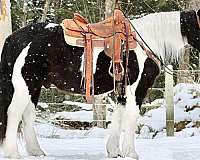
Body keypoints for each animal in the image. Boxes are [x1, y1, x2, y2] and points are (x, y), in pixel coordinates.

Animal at [0, 10, 199, 159]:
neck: (147, 41)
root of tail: (14, 37)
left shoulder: (122, 90)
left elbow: (119, 115)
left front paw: (114, 151)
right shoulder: (137, 88)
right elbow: (131, 117)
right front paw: (131, 153)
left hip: (34, 86)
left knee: (28, 115)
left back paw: (36, 151)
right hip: (25, 85)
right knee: (14, 113)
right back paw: (13, 153)